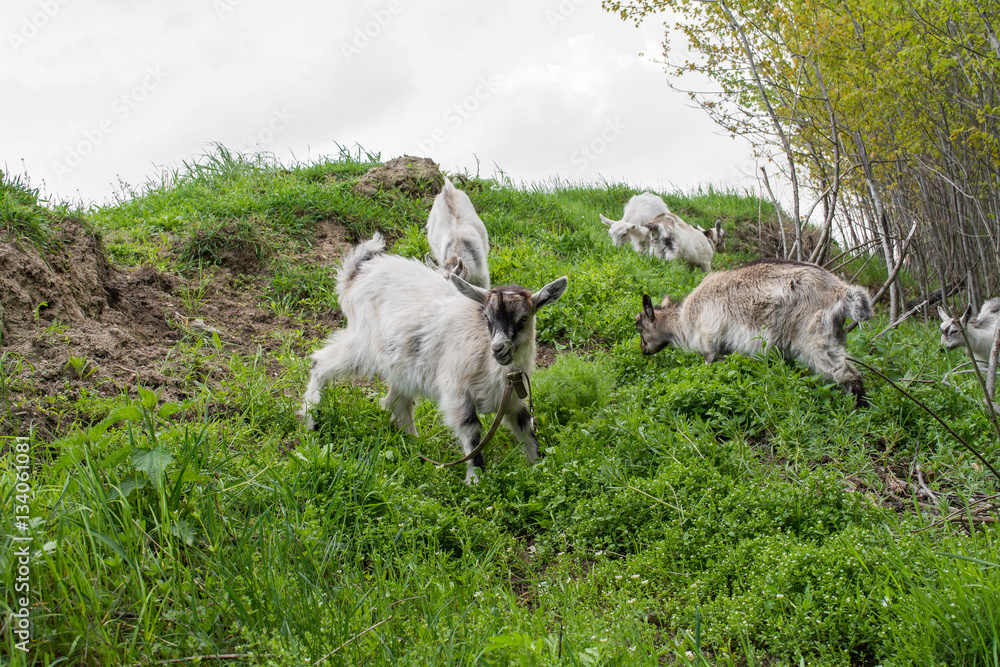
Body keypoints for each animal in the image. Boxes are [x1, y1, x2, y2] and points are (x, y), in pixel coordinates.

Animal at [299, 233, 568, 483]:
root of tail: (357, 274)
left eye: (524, 318)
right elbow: (472, 430)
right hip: (364, 343)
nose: (498, 349)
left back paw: (414, 446)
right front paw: (476, 479)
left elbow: (526, 428)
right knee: (320, 362)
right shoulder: (457, 391)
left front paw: (541, 468)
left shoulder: (511, 398)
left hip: (402, 361)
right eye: (487, 317)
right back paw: (311, 420)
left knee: (397, 402)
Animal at [634, 258, 872, 407]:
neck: (686, 319)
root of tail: (840, 291)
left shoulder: (710, 341)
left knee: (846, 372)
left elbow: (709, 365)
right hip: (833, 335)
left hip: (815, 338)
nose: (643, 351)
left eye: (640, 329)